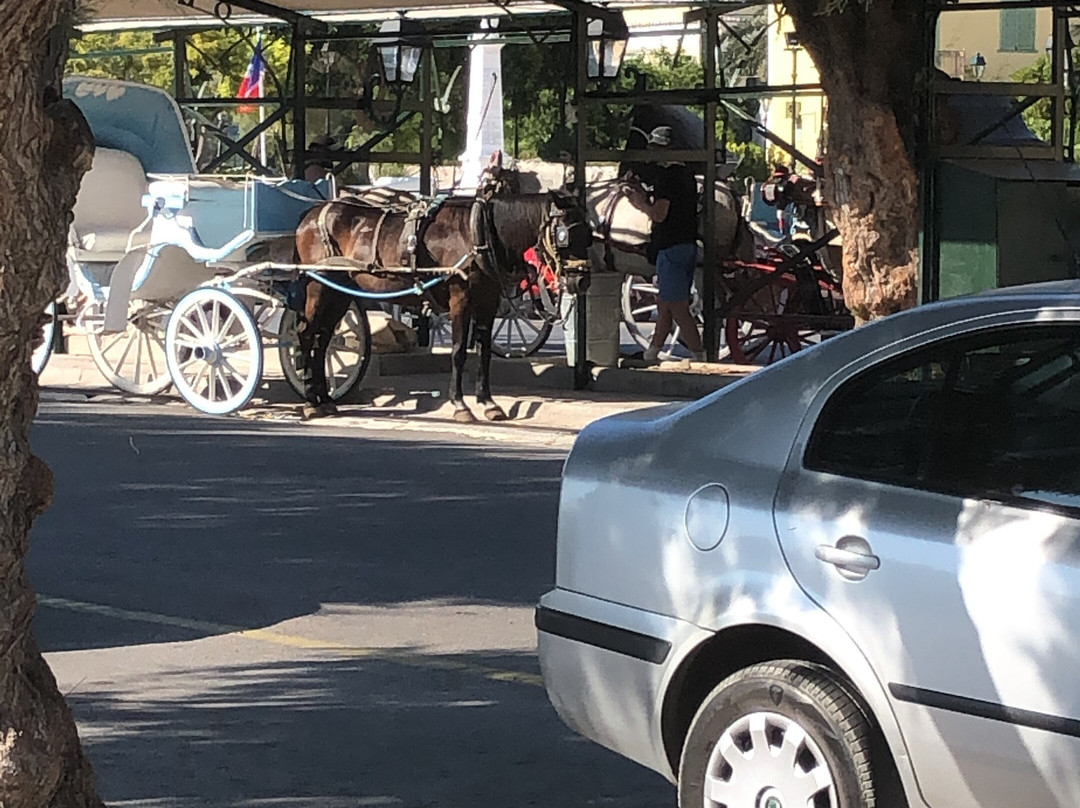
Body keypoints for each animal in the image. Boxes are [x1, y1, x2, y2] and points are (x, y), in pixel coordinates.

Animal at [293, 192, 591, 423]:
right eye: (564, 234)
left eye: (589, 234)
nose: (582, 280)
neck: (479, 234)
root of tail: (311, 214)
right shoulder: (460, 299)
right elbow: (458, 352)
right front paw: (460, 405)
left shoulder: (487, 300)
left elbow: (483, 352)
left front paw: (488, 403)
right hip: (319, 285)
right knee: (307, 335)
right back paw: (311, 401)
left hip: (340, 291)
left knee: (323, 341)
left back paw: (324, 398)